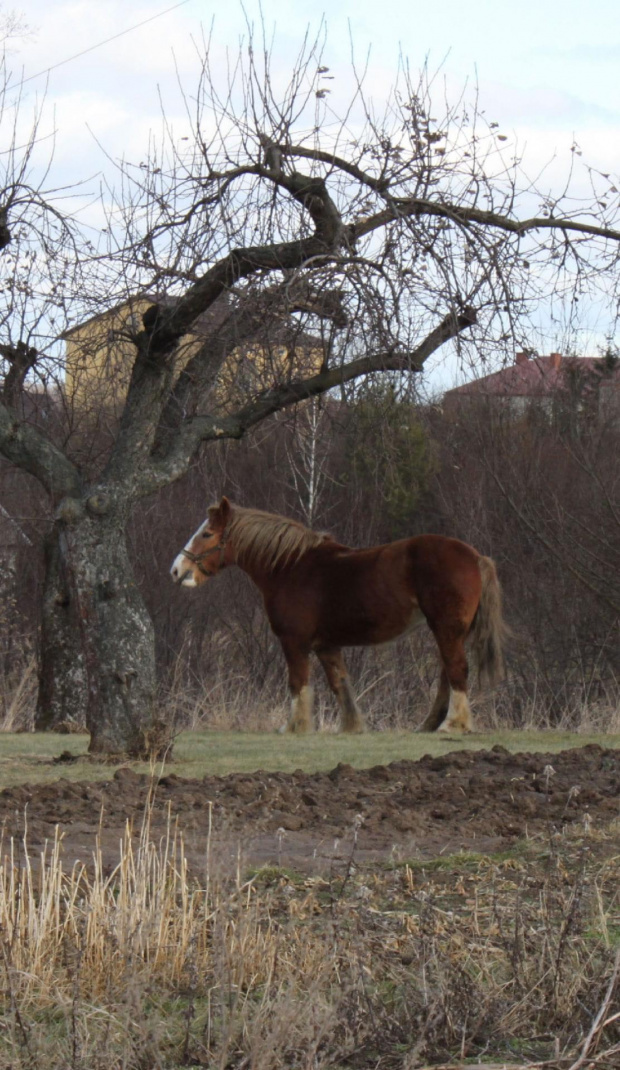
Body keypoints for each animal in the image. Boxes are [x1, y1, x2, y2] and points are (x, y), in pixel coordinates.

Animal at [168, 496, 505, 731]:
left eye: (207, 534)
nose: (176, 570)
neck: (290, 568)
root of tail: (476, 556)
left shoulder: (295, 642)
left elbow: (298, 683)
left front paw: (296, 727)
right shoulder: (326, 646)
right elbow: (340, 683)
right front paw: (352, 727)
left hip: (446, 629)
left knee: (457, 669)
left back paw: (453, 724)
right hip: (451, 632)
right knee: (448, 673)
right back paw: (430, 724)